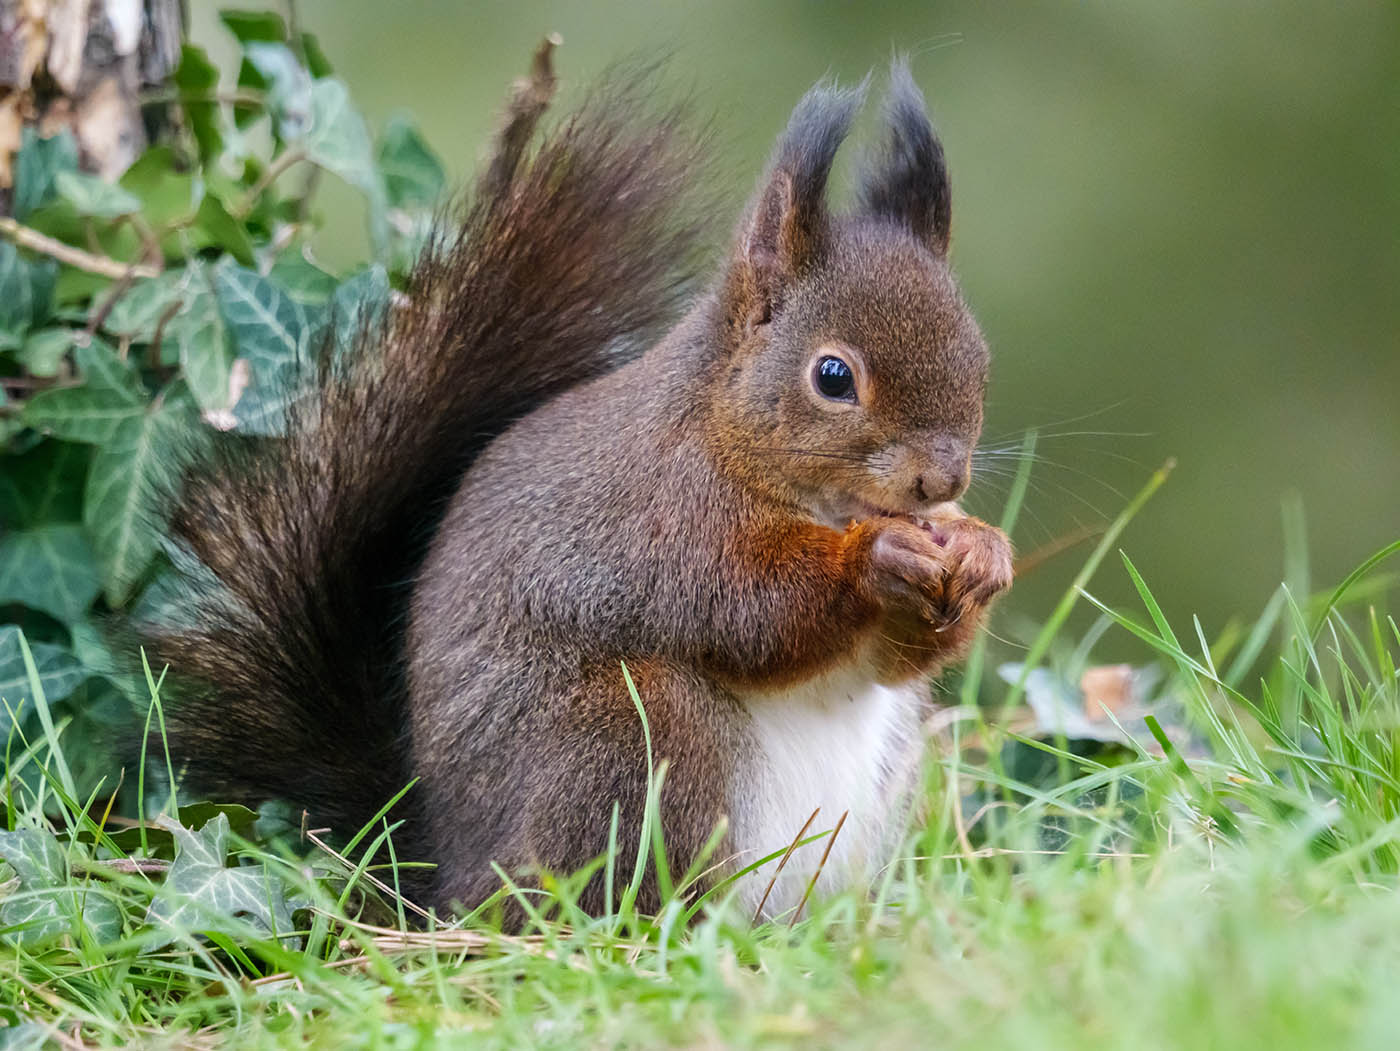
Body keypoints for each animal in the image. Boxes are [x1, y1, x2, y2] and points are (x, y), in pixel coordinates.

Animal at [136, 53, 1013, 923]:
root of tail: (449, 883)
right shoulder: (665, 516)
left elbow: (893, 659)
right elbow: (751, 609)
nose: (943, 478)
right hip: (629, 738)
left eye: (979, 356)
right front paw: (877, 556)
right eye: (833, 376)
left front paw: (982, 552)